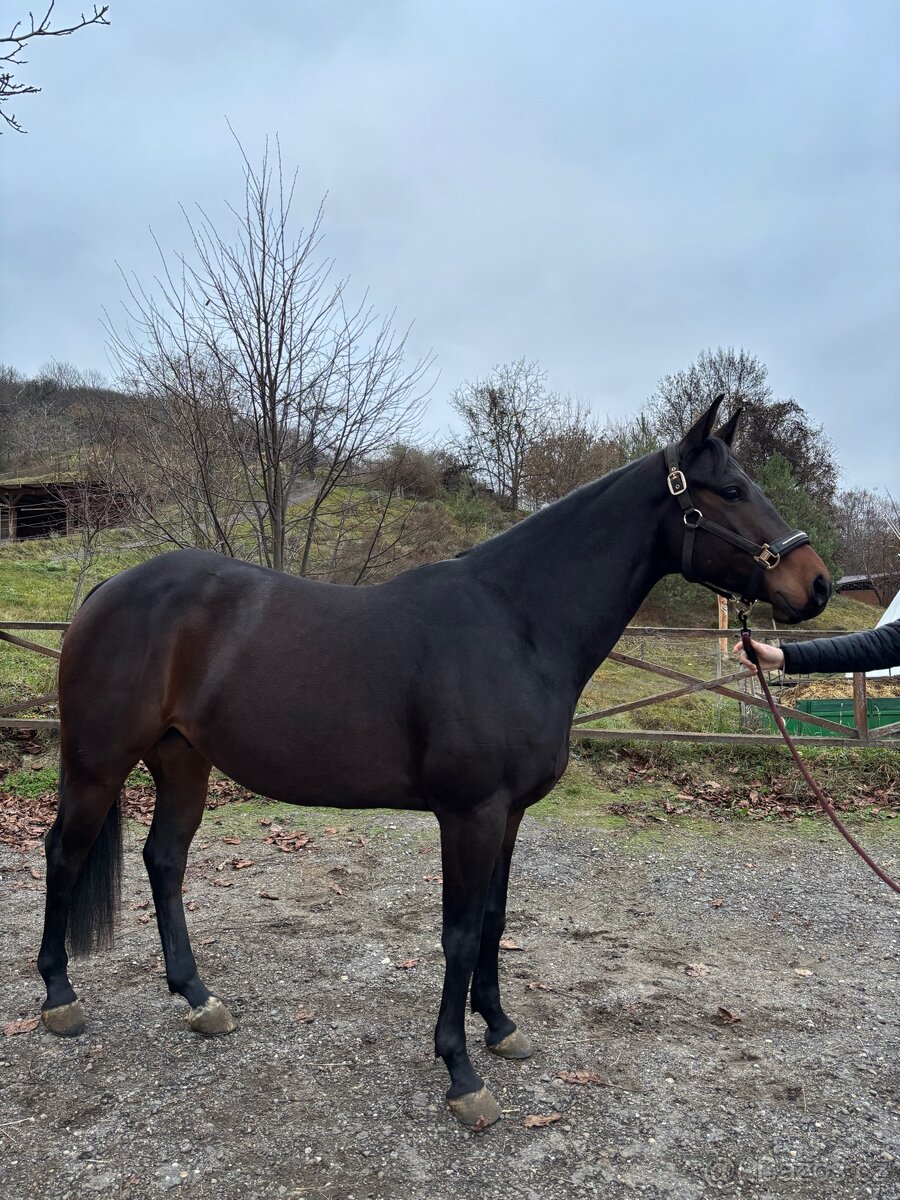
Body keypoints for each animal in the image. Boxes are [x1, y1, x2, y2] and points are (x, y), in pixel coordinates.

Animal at [37, 398, 830, 1127]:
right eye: (731, 490)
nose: (816, 583)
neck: (516, 626)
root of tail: (107, 591)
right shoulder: (468, 814)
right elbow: (458, 932)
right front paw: (461, 1072)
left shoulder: (508, 815)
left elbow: (494, 920)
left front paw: (502, 1029)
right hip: (98, 764)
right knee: (65, 853)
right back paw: (59, 999)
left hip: (182, 764)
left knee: (164, 861)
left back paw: (199, 1000)